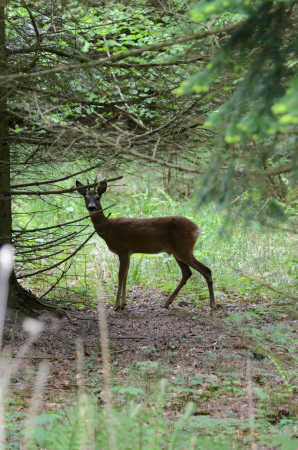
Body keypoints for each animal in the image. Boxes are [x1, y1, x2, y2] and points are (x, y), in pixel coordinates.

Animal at [76, 178, 217, 312]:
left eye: (98, 197)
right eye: (85, 197)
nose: (91, 207)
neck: (107, 228)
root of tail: (197, 229)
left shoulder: (123, 250)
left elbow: (120, 276)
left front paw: (116, 306)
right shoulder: (128, 253)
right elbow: (126, 275)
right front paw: (123, 304)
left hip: (184, 249)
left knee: (206, 270)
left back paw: (212, 305)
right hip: (178, 252)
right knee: (187, 273)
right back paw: (167, 303)